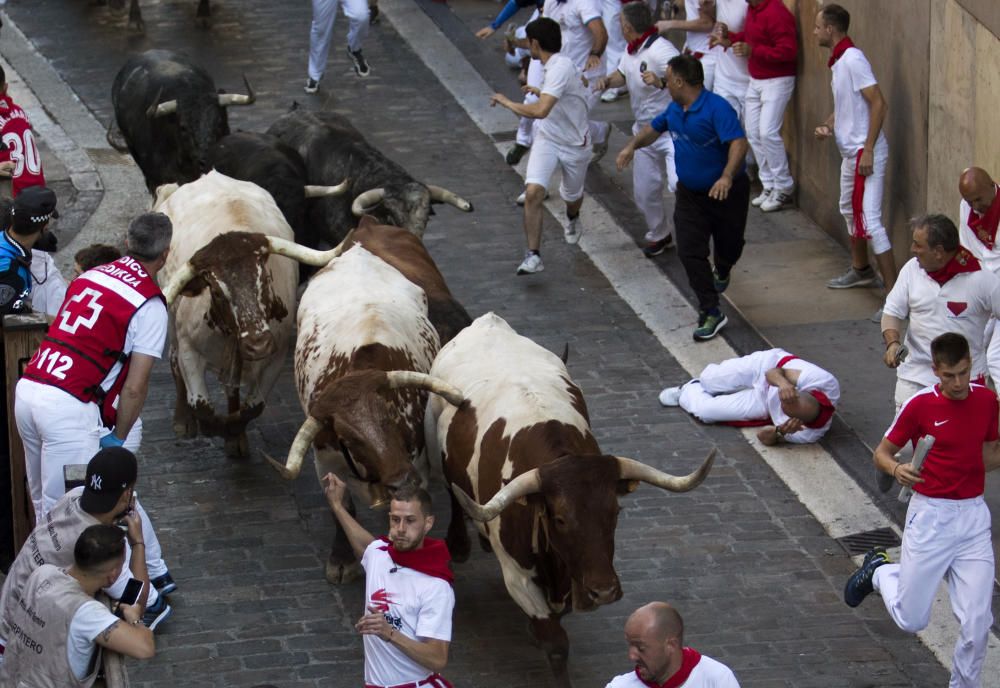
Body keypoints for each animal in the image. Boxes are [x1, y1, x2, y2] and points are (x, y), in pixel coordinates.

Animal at [266, 245, 468, 584]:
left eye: (391, 414)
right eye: (349, 439)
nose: (400, 481)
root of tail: (358, 251)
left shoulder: (417, 464)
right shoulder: (326, 461)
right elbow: (343, 507)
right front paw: (341, 559)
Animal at [426, 314, 716, 684]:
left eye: (615, 512)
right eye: (560, 518)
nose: (603, 591)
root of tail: (488, 321)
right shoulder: (518, 577)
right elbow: (556, 642)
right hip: (435, 449)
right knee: (451, 491)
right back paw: (460, 543)